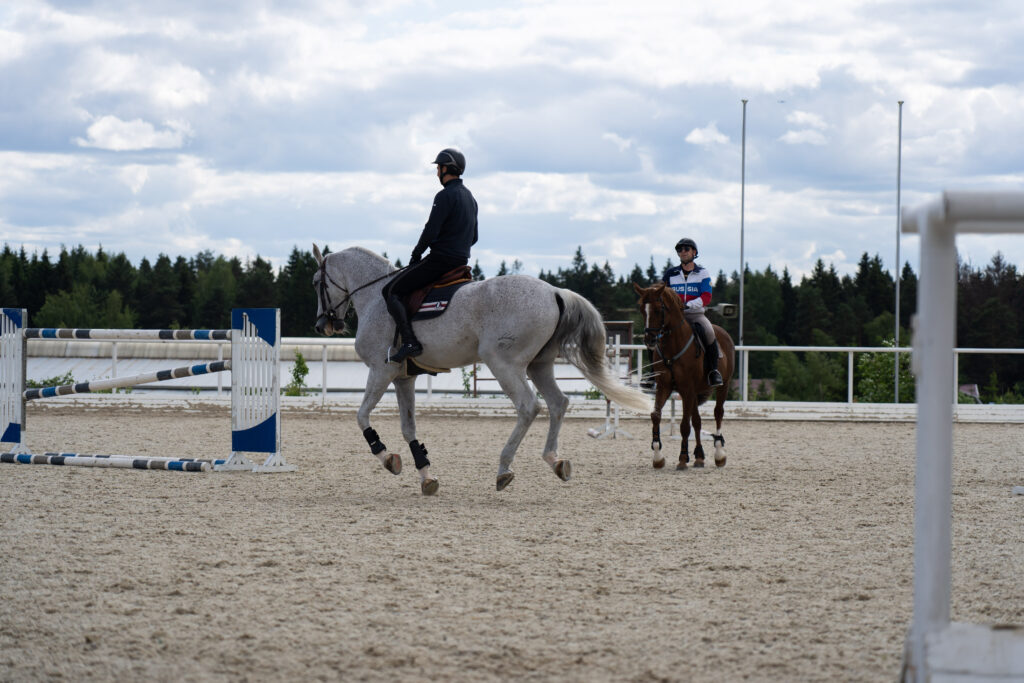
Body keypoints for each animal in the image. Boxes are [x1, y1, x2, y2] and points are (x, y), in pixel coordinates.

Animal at [311, 245, 651, 497]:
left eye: (316, 282)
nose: (323, 325)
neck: (375, 296)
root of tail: (554, 291)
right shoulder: (405, 378)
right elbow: (409, 428)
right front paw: (426, 476)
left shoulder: (381, 371)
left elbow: (361, 416)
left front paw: (387, 458)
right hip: (539, 365)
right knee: (558, 403)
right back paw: (554, 461)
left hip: (503, 363)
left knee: (529, 406)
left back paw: (504, 468)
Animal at [630, 282, 737, 471]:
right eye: (642, 309)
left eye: (658, 309)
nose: (649, 339)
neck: (672, 346)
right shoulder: (665, 387)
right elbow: (656, 416)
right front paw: (658, 457)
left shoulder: (687, 389)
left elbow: (684, 426)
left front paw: (682, 458)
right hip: (694, 393)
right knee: (697, 421)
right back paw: (699, 457)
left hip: (723, 385)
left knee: (718, 413)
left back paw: (719, 454)